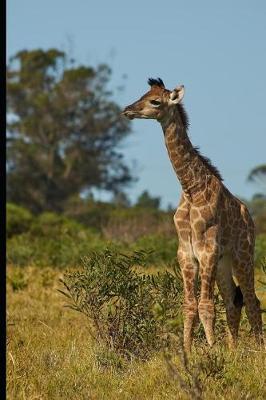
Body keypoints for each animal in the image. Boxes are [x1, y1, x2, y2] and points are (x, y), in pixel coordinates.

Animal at [122, 77, 264, 350]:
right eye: (143, 94)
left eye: (155, 101)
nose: (127, 110)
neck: (191, 189)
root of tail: (250, 218)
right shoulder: (186, 254)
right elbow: (189, 305)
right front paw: (189, 351)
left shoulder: (207, 251)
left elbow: (206, 306)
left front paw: (211, 350)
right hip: (224, 263)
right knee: (233, 302)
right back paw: (234, 350)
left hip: (242, 255)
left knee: (252, 301)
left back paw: (256, 348)